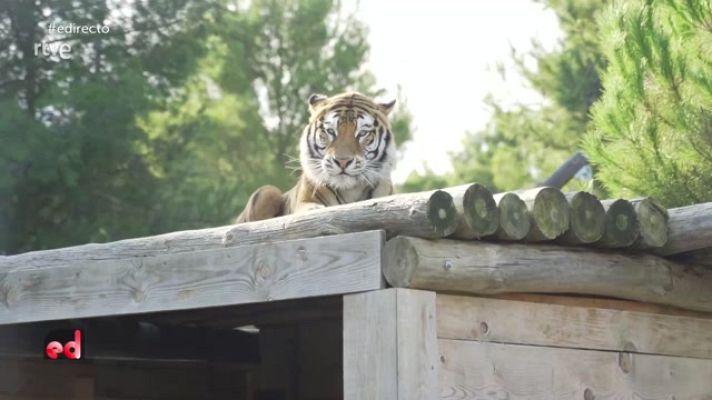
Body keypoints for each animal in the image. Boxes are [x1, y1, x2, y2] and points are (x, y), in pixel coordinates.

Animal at [235, 91, 397, 223]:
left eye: (362, 133)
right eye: (330, 131)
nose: (342, 161)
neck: (350, 190)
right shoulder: (304, 201)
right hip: (267, 191)